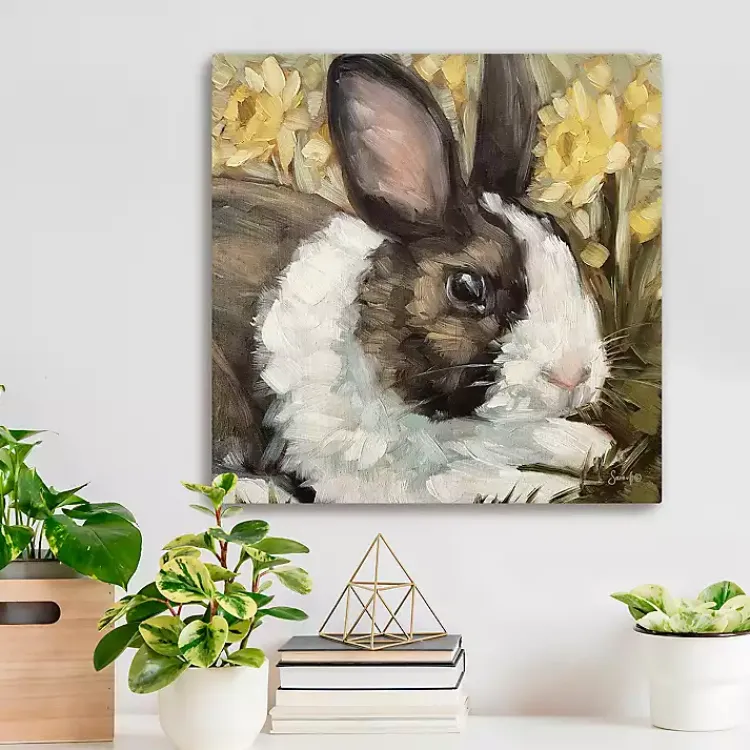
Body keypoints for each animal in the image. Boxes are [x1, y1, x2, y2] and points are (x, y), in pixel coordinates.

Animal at [212, 54, 613, 504]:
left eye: (565, 244)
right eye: (466, 288)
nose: (575, 377)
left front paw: (592, 446)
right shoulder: (380, 481)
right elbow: (471, 480)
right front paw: (558, 484)